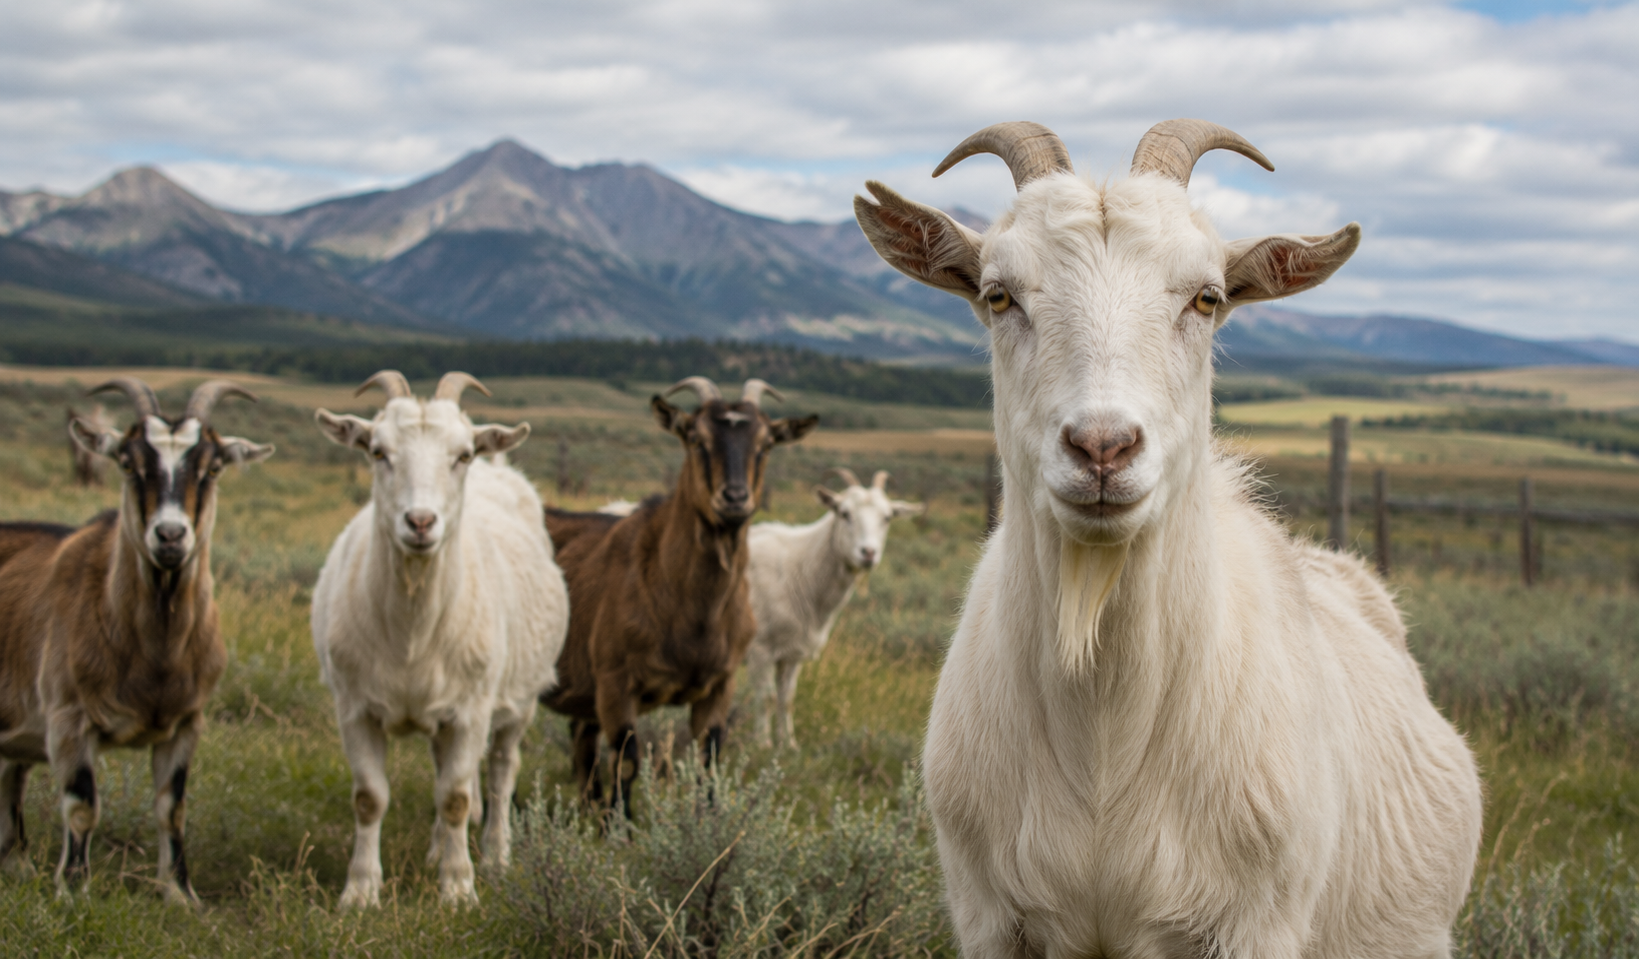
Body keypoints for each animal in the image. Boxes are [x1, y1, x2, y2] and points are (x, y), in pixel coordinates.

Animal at [0, 378, 272, 902]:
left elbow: (172, 809)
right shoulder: (68, 719)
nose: (169, 536)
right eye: (127, 464)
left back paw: (15, 864)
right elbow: (82, 807)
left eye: (213, 468)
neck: (153, 655)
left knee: (11, 776)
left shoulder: (186, 723)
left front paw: (181, 894)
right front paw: (73, 891)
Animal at [311, 370, 568, 908]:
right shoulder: (354, 707)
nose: (421, 522)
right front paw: (361, 891)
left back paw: (495, 855)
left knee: (500, 771)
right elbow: (369, 798)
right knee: (442, 765)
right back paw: (435, 851)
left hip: (519, 699)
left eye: (462, 455)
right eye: (377, 451)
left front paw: (458, 889)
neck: (413, 631)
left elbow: (456, 797)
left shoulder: (471, 710)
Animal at [541, 377, 816, 816]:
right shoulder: (616, 684)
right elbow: (627, 762)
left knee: (581, 740)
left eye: (766, 443)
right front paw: (621, 827)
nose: (734, 498)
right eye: (695, 438)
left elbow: (709, 761)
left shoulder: (720, 684)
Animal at [743, 468, 922, 748]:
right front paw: (762, 745)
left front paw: (789, 745)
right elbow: (766, 699)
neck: (801, 569)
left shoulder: (793, 652)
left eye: (887, 517)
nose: (868, 553)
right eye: (844, 513)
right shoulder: (759, 648)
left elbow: (787, 699)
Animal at [855, 120, 1483, 958]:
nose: (1102, 447)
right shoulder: (989, 917)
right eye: (997, 294)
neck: (1103, 739)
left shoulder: (1255, 923)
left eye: (1206, 297)